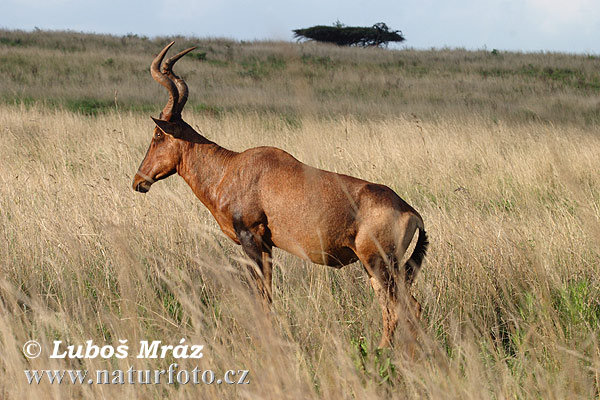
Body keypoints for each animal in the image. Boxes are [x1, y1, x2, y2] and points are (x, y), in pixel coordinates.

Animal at [134, 41, 428, 346]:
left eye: (158, 134)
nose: (139, 181)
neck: (232, 167)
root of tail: (411, 212)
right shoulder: (266, 245)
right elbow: (267, 295)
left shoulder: (251, 238)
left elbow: (261, 295)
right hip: (375, 267)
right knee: (394, 308)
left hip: (379, 263)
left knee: (406, 307)